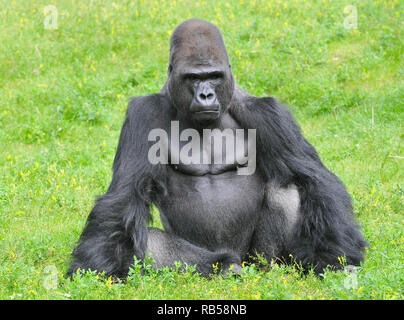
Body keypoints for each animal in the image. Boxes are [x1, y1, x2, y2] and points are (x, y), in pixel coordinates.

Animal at [68, 19, 366, 278]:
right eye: (193, 78)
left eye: (214, 76)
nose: (206, 95)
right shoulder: (145, 113)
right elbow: (125, 195)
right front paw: (96, 268)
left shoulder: (267, 113)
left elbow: (312, 177)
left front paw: (332, 257)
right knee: (150, 239)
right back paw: (222, 266)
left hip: (258, 260)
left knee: (290, 190)